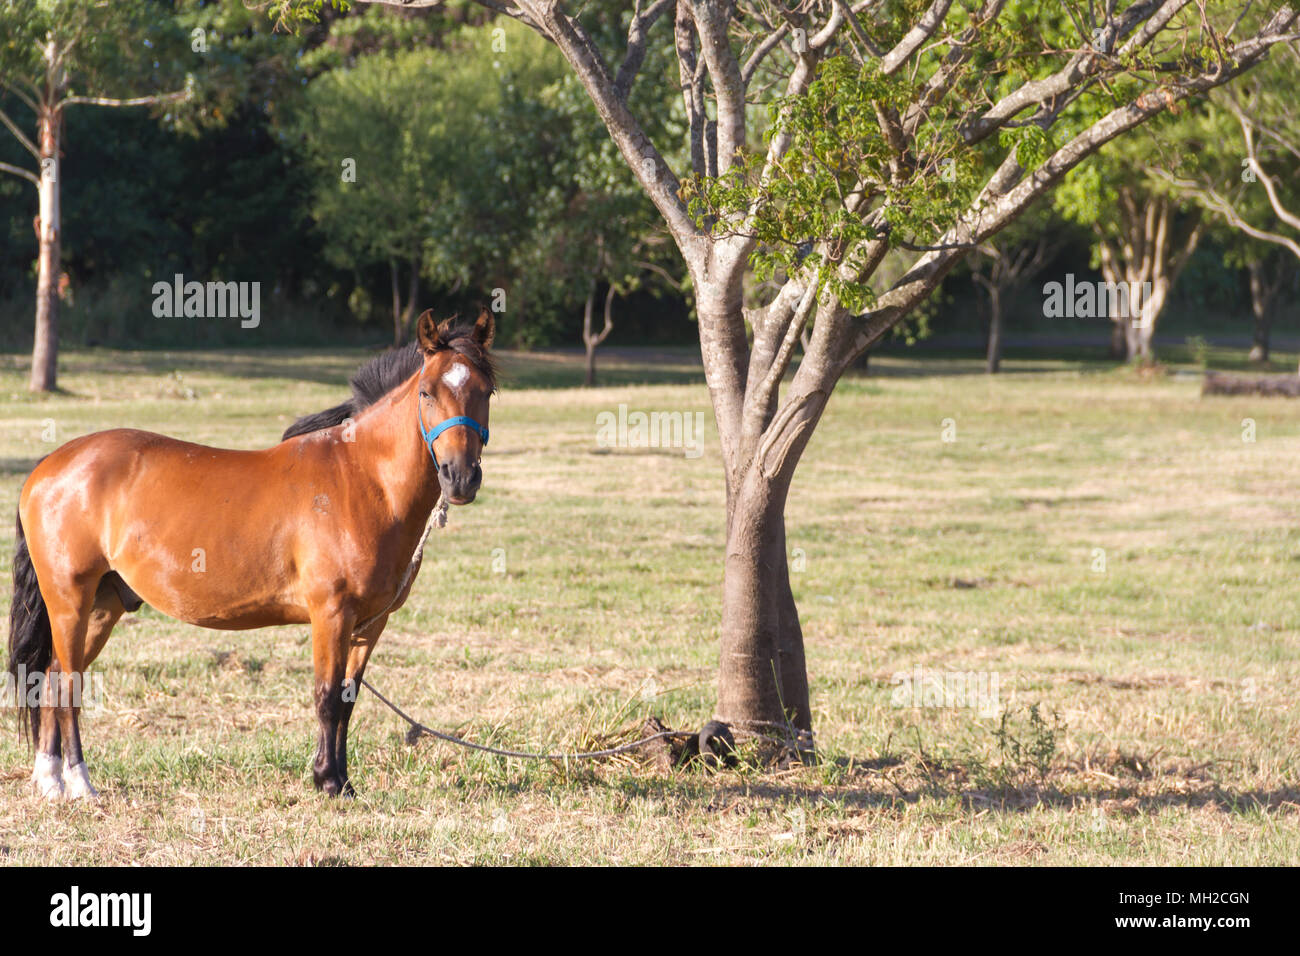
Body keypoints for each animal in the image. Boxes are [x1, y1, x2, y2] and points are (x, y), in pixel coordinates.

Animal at [7, 309, 496, 799]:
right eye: (427, 391)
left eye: (486, 391)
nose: (460, 477)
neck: (362, 478)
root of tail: (47, 468)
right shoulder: (331, 614)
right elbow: (326, 697)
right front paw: (326, 780)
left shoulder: (369, 625)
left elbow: (347, 700)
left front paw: (343, 782)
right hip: (69, 601)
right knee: (67, 683)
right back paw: (79, 782)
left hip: (103, 606)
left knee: (53, 678)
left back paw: (50, 780)